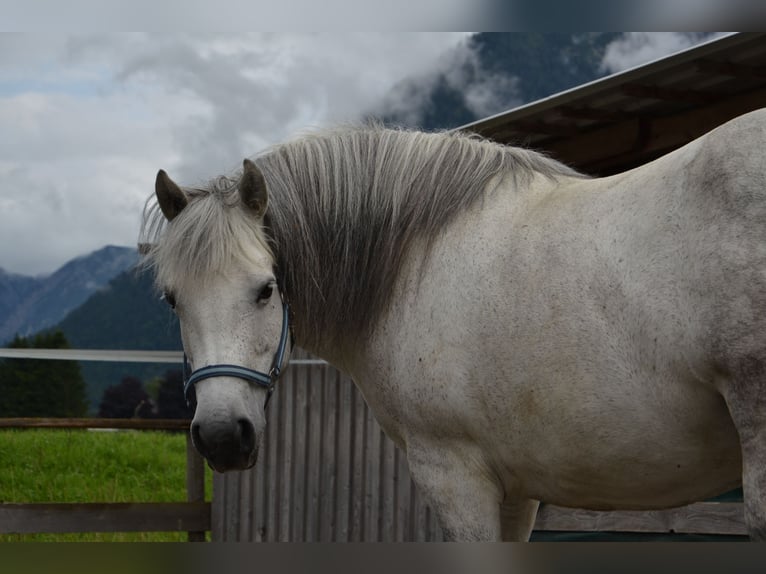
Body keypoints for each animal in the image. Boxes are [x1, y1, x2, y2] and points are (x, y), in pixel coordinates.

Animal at [140, 109, 766, 541]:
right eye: (171, 301)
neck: (412, 262)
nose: (223, 436)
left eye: (266, 289)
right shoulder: (518, 490)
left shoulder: (454, 474)